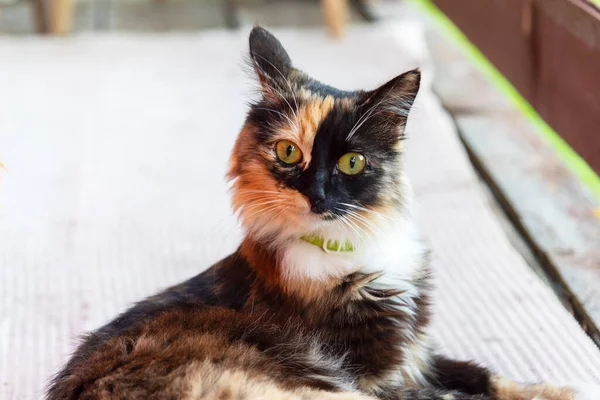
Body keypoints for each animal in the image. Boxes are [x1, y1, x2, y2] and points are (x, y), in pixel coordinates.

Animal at [48, 27, 600, 400]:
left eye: (352, 162)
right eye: (289, 152)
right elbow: (455, 393)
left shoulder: (415, 356)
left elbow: (485, 375)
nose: (316, 194)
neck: (351, 249)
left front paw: (560, 388)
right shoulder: (373, 378)